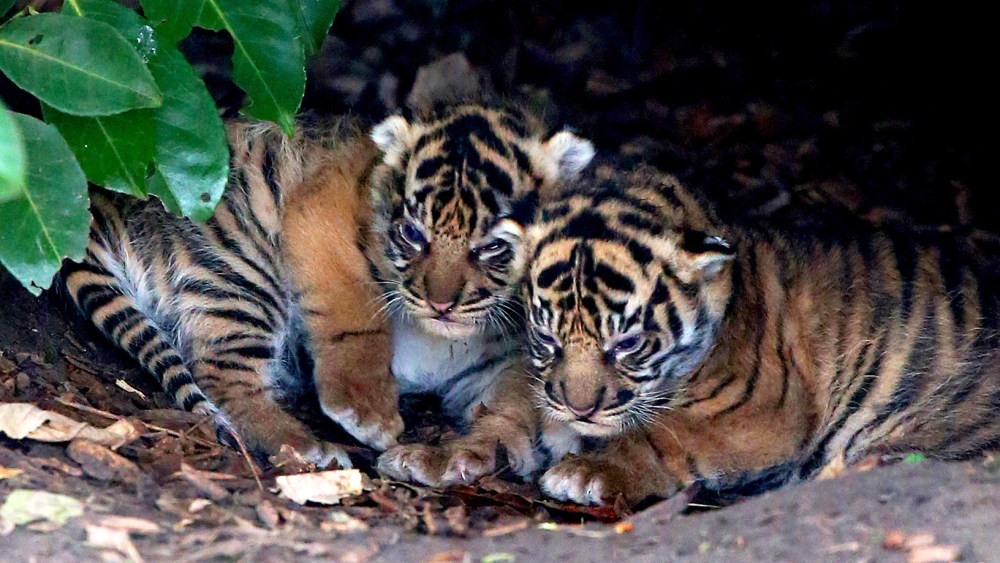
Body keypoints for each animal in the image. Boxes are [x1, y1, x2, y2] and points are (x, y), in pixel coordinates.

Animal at [60, 102, 594, 468]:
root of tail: (102, 200)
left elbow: (510, 410)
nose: (440, 303)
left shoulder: (497, 366)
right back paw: (307, 446)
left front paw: (458, 458)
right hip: (245, 274)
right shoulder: (321, 209)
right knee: (223, 376)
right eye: (412, 234)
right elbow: (354, 310)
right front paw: (367, 413)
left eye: (492, 246)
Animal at [521, 166, 1000, 506]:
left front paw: (585, 471)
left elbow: (663, 434)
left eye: (627, 345)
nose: (579, 410)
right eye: (547, 339)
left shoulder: (763, 411)